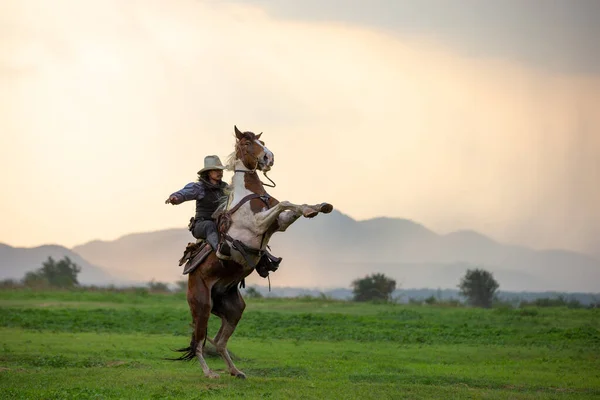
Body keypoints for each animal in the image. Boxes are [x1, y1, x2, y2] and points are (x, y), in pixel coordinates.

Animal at [172, 125, 332, 378]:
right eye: (247, 144)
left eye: (262, 142)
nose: (269, 158)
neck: (252, 194)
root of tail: (191, 278)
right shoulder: (257, 225)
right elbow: (285, 202)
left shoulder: (279, 223)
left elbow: (291, 207)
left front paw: (317, 207)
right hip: (202, 306)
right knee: (198, 343)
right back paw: (210, 373)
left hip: (233, 308)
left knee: (219, 341)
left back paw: (235, 371)